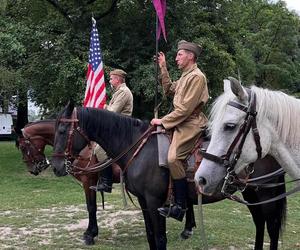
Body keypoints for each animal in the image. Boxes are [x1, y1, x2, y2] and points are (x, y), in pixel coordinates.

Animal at [50, 102, 288, 249]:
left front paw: (90, 234)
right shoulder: (144, 201)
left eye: (62, 131)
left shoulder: (155, 202)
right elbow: (151, 237)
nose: (56, 166)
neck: (138, 148)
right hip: (250, 193)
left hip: (265, 194)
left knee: (272, 226)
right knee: (260, 223)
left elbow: (160, 238)